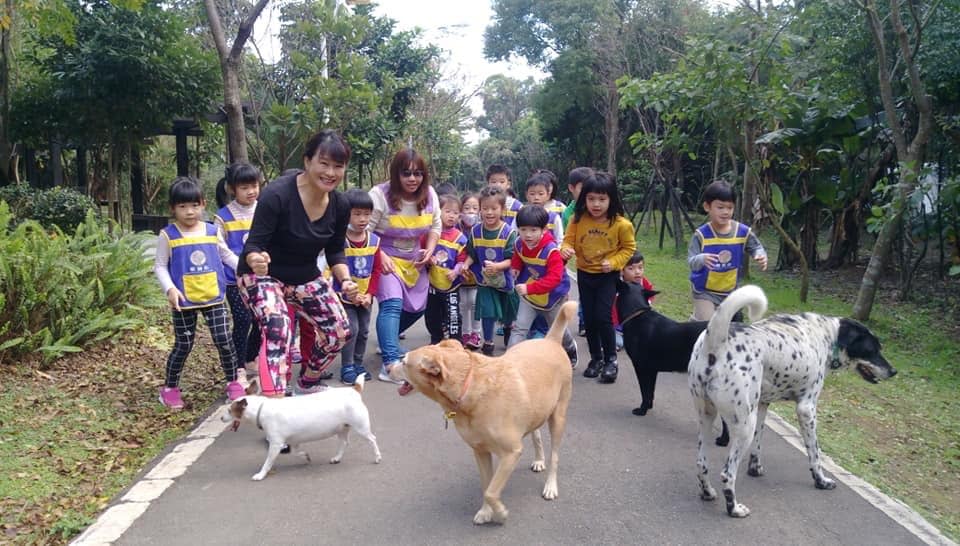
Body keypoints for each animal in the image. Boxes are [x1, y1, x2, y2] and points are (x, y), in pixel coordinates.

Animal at [221, 374, 382, 476]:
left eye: (229, 410)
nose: (222, 418)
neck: (262, 408)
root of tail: (354, 390)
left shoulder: (276, 445)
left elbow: (267, 463)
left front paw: (260, 474)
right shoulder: (293, 442)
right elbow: (297, 453)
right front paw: (306, 457)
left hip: (361, 427)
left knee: (373, 439)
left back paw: (377, 457)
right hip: (342, 428)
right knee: (344, 443)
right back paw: (337, 458)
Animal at [392, 300, 576, 520]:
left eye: (404, 362)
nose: (389, 368)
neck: (469, 388)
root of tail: (550, 340)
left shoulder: (511, 453)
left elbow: (491, 491)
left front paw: (500, 512)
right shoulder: (480, 451)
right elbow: (486, 485)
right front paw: (486, 512)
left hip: (558, 417)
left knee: (555, 456)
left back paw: (550, 486)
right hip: (536, 408)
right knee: (536, 434)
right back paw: (539, 459)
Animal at [688, 282, 896, 516]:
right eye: (872, 349)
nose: (893, 371)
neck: (828, 336)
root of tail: (717, 340)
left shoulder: (762, 405)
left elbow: (758, 444)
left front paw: (755, 468)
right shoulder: (807, 409)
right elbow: (815, 453)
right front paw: (821, 480)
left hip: (708, 416)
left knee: (701, 463)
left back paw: (707, 492)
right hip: (744, 425)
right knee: (727, 473)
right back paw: (734, 508)